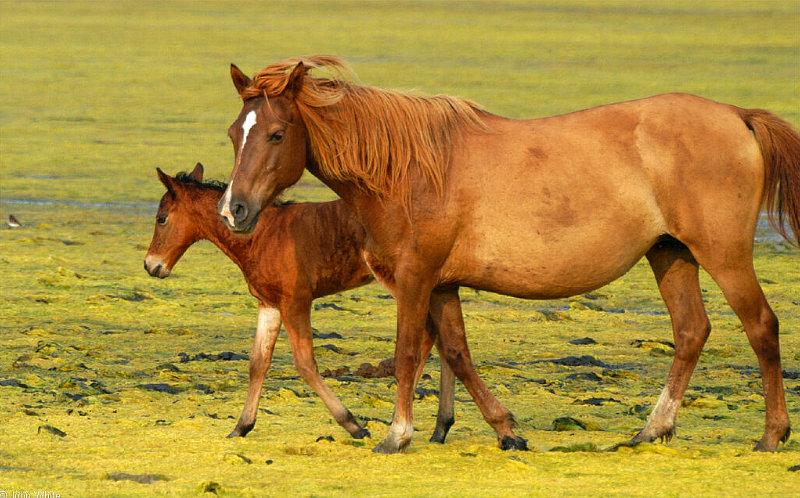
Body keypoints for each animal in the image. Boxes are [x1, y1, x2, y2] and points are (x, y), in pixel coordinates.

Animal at [144, 165, 456, 442]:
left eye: (161, 218)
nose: (151, 265)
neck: (261, 235)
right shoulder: (269, 303)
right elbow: (258, 363)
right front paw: (241, 427)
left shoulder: (296, 301)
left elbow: (305, 363)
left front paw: (354, 425)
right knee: (444, 338)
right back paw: (440, 427)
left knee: (427, 337)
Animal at [219, 56, 800, 454]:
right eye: (233, 133)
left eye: (276, 133)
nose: (234, 209)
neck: (408, 170)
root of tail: (736, 116)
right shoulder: (442, 284)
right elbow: (457, 354)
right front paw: (505, 430)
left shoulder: (414, 279)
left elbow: (407, 353)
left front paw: (397, 434)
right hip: (671, 254)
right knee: (691, 332)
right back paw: (654, 428)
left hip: (724, 256)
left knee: (760, 326)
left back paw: (772, 435)